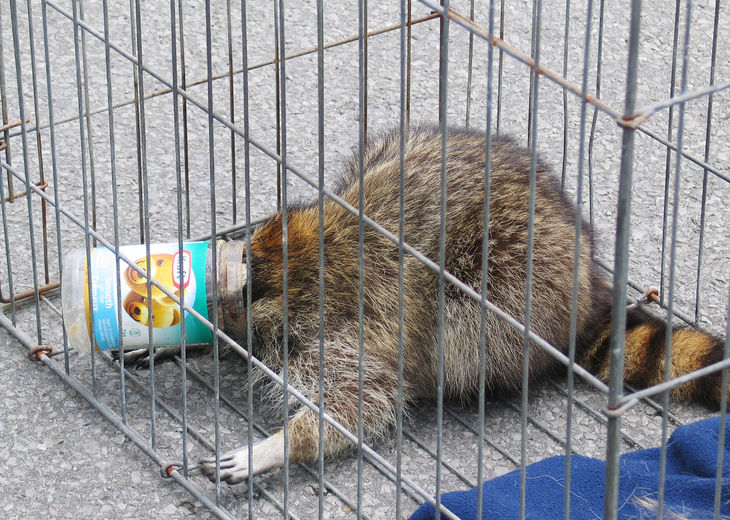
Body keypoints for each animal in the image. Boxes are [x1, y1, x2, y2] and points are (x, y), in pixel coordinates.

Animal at [200, 125, 725, 484]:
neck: (306, 255)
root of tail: (588, 291)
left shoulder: (356, 324)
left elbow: (359, 403)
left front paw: (282, 444)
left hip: (510, 281)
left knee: (466, 332)